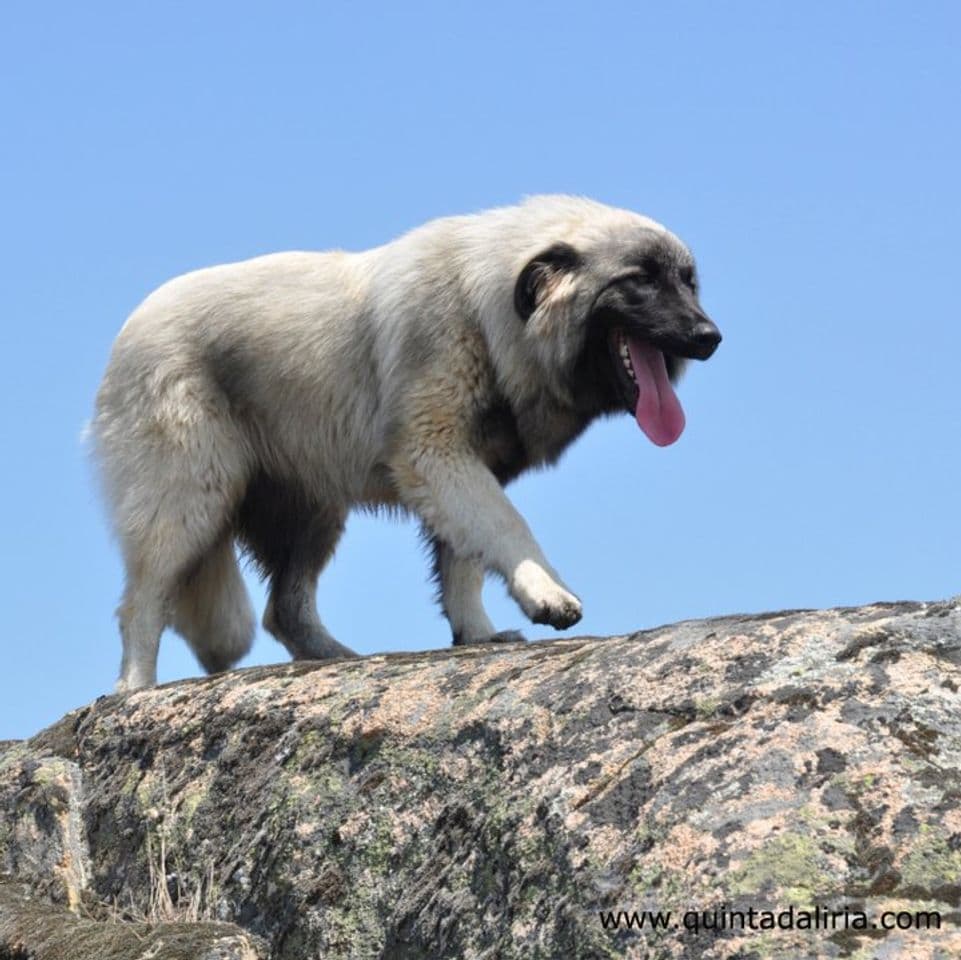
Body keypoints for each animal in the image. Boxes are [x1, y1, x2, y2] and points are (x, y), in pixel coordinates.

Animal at [95, 197, 720, 688]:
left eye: (688, 281)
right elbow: (505, 526)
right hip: (191, 499)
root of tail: (129, 331)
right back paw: (136, 690)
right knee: (142, 604)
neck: (492, 315)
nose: (709, 337)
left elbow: (464, 562)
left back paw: (340, 659)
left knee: (285, 610)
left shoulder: (463, 467)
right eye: (640, 279)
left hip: (312, 510)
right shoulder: (437, 453)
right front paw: (544, 591)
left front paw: (477, 634)